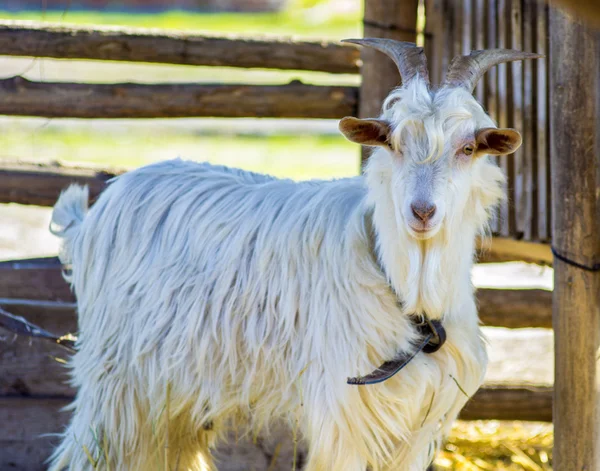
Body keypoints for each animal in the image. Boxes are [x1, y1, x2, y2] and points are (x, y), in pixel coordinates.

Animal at [49, 41, 540, 471]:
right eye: (394, 143)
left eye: (468, 147)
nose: (421, 211)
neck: (410, 298)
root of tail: (99, 208)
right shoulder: (344, 414)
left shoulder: (418, 427)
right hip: (115, 383)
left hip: (173, 392)